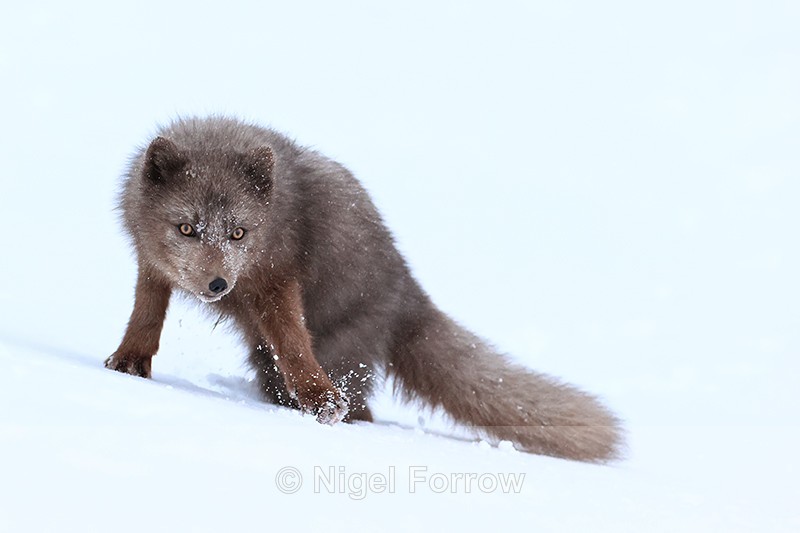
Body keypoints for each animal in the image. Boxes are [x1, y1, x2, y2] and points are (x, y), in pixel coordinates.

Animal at [105, 116, 623, 462]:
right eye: (186, 228)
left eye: (238, 233)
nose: (218, 284)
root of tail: (408, 292)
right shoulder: (152, 264)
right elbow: (145, 312)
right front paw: (128, 362)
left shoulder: (278, 277)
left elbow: (294, 343)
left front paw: (320, 400)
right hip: (267, 366)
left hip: (339, 352)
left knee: (359, 407)